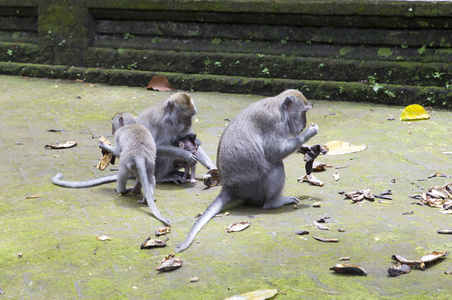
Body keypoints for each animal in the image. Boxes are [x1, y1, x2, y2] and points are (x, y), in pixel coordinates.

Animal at [175, 89, 320, 253]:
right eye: (303, 112)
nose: (304, 124)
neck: (279, 109)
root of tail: (228, 187)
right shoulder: (273, 123)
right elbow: (275, 152)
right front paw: (309, 132)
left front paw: (305, 148)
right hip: (253, 188)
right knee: (276, 165)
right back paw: (273, 203)